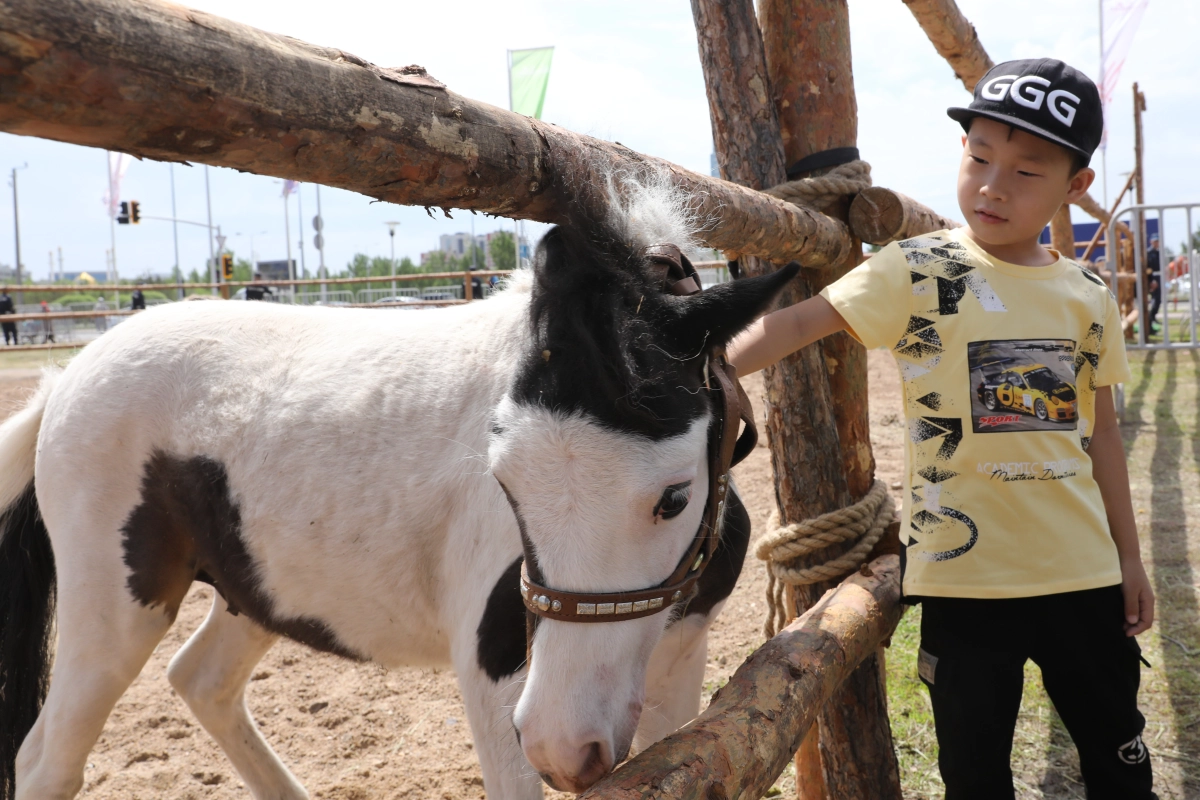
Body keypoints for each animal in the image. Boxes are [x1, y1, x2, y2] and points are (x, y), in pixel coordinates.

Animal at [0, 178, 796, 796]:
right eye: (504, 481)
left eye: (674, 496)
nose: (563, 746)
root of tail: (65, 378)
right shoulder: (492, 670)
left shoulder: (679, 656)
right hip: (113, 610)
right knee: (45, 761)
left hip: (255, 592)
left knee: (201, 681)